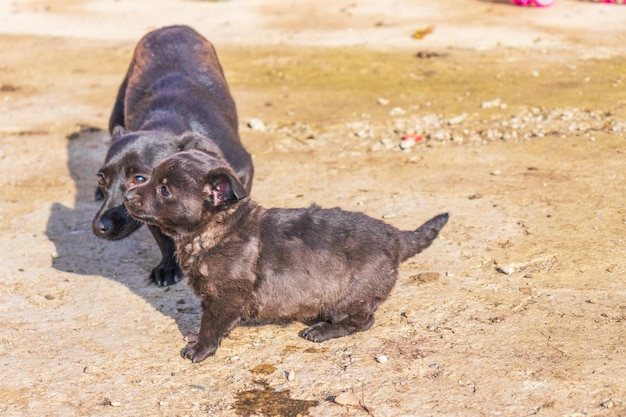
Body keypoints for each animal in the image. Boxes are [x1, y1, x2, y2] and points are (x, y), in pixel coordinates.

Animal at [91, 25, 252, 286]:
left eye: (139, 178)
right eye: (102, 178)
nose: (99, 227)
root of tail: (172, 27)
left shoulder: (242, 170)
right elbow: (162, 236)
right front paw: (168, 266)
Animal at [124, 150, 448, 360]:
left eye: (164, 190)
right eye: (148, 178)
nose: (126, 196)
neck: (213, 230)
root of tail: (395, 236)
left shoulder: (228, 295)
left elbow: (211, 323)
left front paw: (200, 349)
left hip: (349, 298)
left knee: (363, 321)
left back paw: (322, 331)